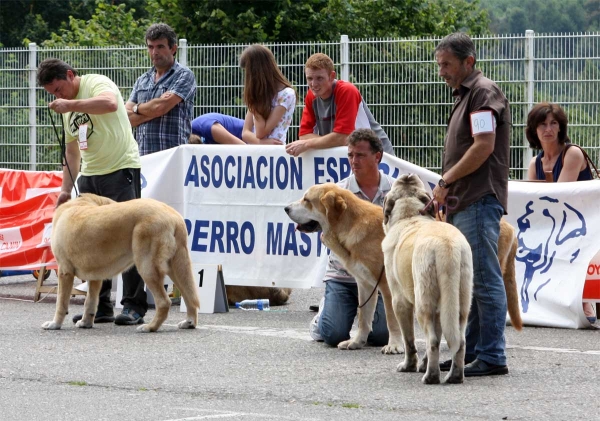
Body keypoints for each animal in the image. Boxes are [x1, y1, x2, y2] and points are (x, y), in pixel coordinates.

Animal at [43, 193, 202, 332]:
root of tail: (174, 216)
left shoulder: (64, 271)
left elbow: (61, 302)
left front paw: (55, 324)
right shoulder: (94, 278)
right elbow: (90, 302)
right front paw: (85, 322)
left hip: (147, 267)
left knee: (164, 302)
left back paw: (150, 327)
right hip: (177, 268)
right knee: (190, 296)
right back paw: (189, 322)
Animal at [284, 184, 404, 354]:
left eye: (307, 200)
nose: (286, 208)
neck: (351, 224)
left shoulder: (387, 286)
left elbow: (392, 319)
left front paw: (394, 344)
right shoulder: (365, 285)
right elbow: (364, 318)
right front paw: (357, 341)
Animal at [382, 172, 476, 382]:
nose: (407, 175)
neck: (410, 216)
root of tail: (447, 245)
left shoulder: (399, 301)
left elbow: (409, 339)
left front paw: (409, 365)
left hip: (423, 303)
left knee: (432, 340)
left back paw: (431, 376)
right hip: (461, 299)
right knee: (460, 341)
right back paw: (454, 376)